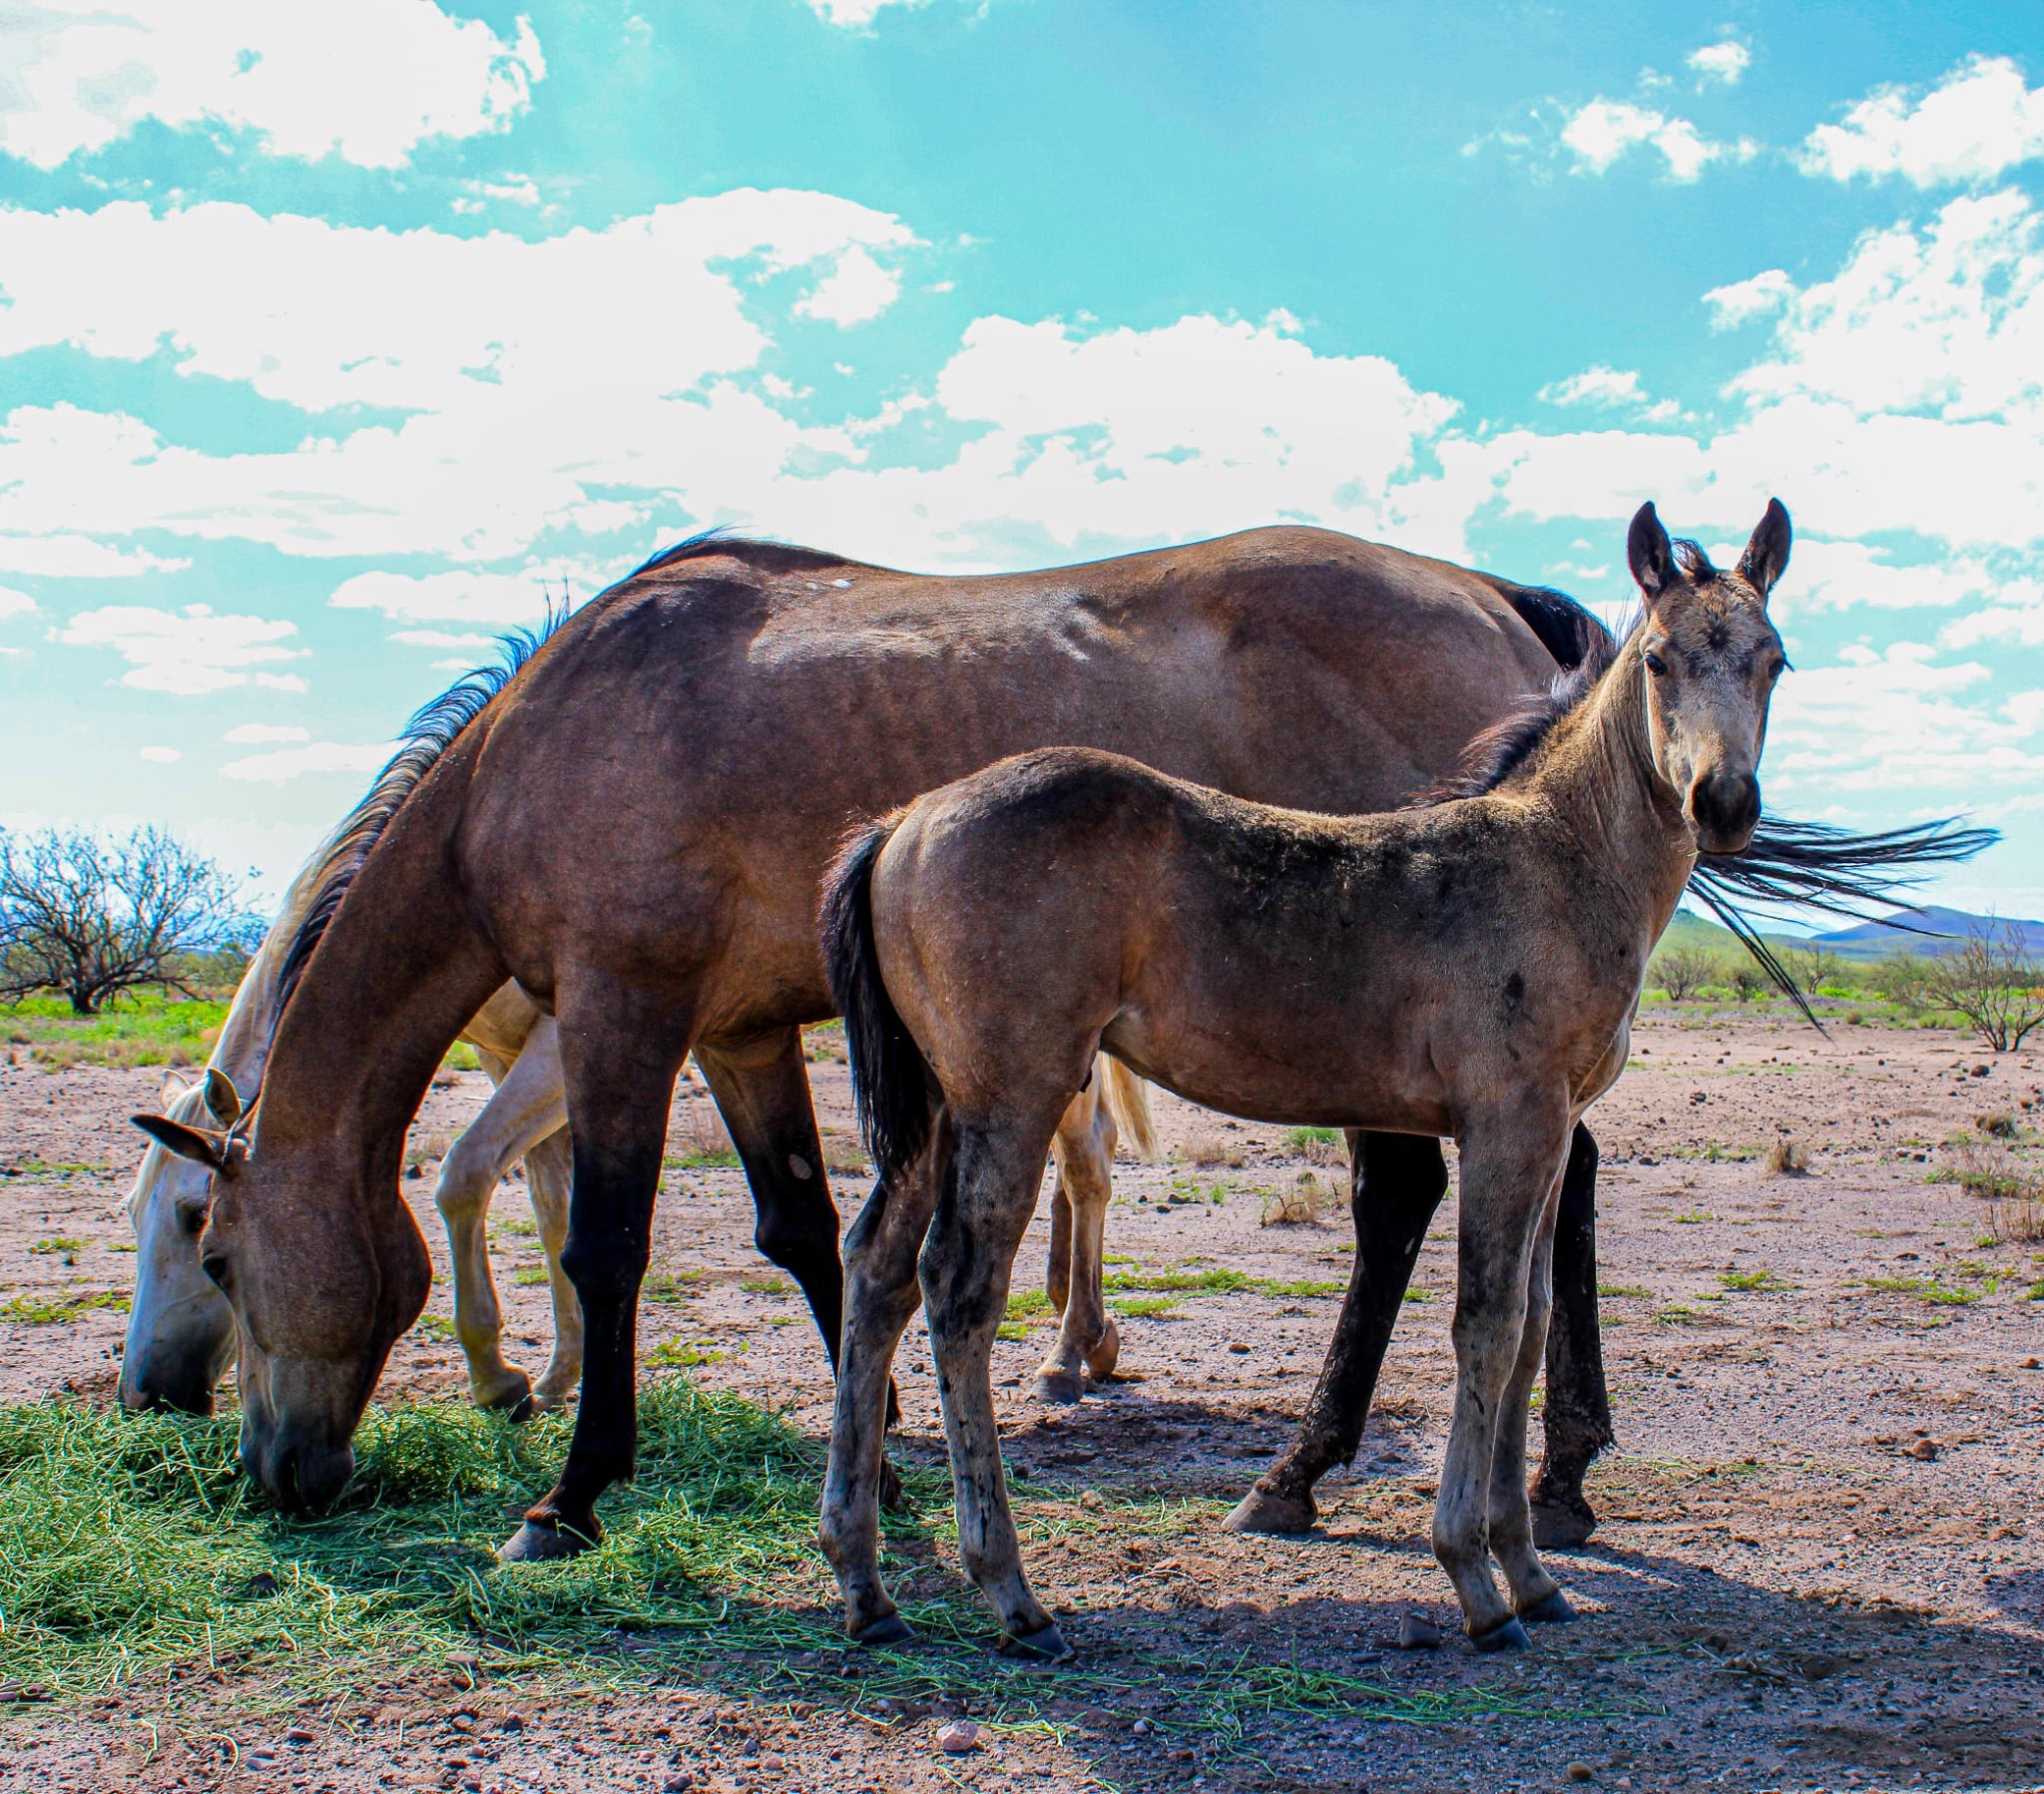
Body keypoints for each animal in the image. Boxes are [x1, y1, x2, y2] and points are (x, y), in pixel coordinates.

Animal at [128, 523, 1979, 1556]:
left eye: (206, 1242)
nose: (229, 1451)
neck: (553, 730)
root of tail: (1489, 594)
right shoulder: (742, 1025)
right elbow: (810, 1235)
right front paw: (889, 1455)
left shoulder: (622, 1006)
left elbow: (609, 1240)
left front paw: (568, 1489)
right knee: (1505, 1194)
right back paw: (1507, 1472)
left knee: (1450, 1199)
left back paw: (1391, 1472)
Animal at [814, 501, 1797, 1655]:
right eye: (1656, 658)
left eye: (1773, 660)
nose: (1722, 801)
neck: (1553, 863)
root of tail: (905, 821)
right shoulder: (1507, 1121)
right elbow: (1488, 1324)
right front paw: (1474, 1578)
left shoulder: (1552, 1133)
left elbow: (1529, 1326)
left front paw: (1530, 1572)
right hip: (1010, 1095)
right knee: (957, 1291)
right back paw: (1010, 1592)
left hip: (934, 1103)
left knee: (875, 1270)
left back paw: (864, 1583)